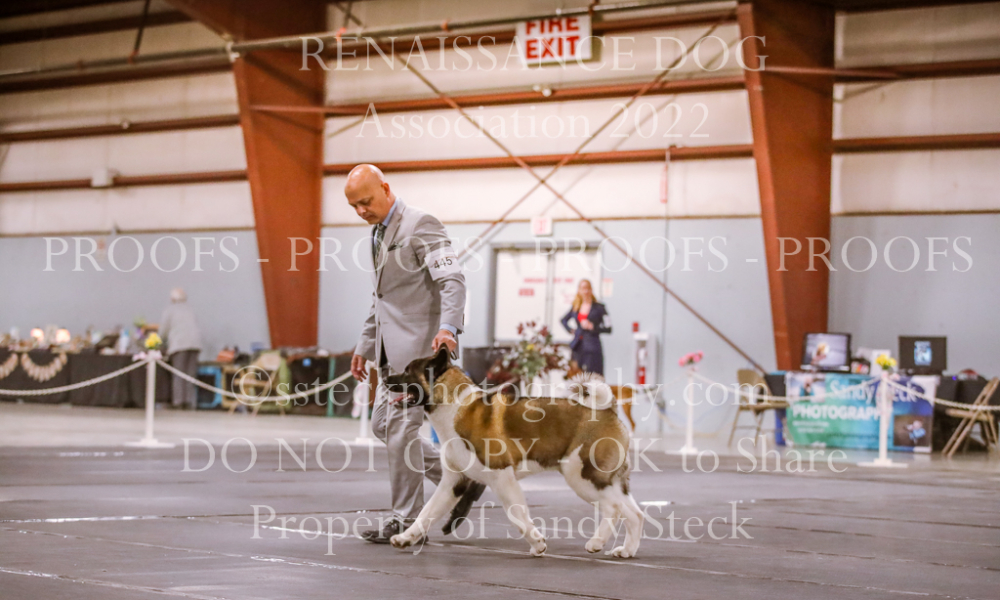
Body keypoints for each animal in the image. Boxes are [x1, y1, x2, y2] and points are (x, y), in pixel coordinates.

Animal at [383, 348, 643, 558]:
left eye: (407, 371)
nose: (385, 378)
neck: (454, 406)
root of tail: (607, 410)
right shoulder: (453, 482)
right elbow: (426, 513)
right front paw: (405, 538)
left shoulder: (502, 477)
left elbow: (516, 515)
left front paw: (537, 544)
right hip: (609, 481)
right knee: (634, 513)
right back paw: (626, 550)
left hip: (582, 476)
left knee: (613, 508)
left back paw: (596, 542)